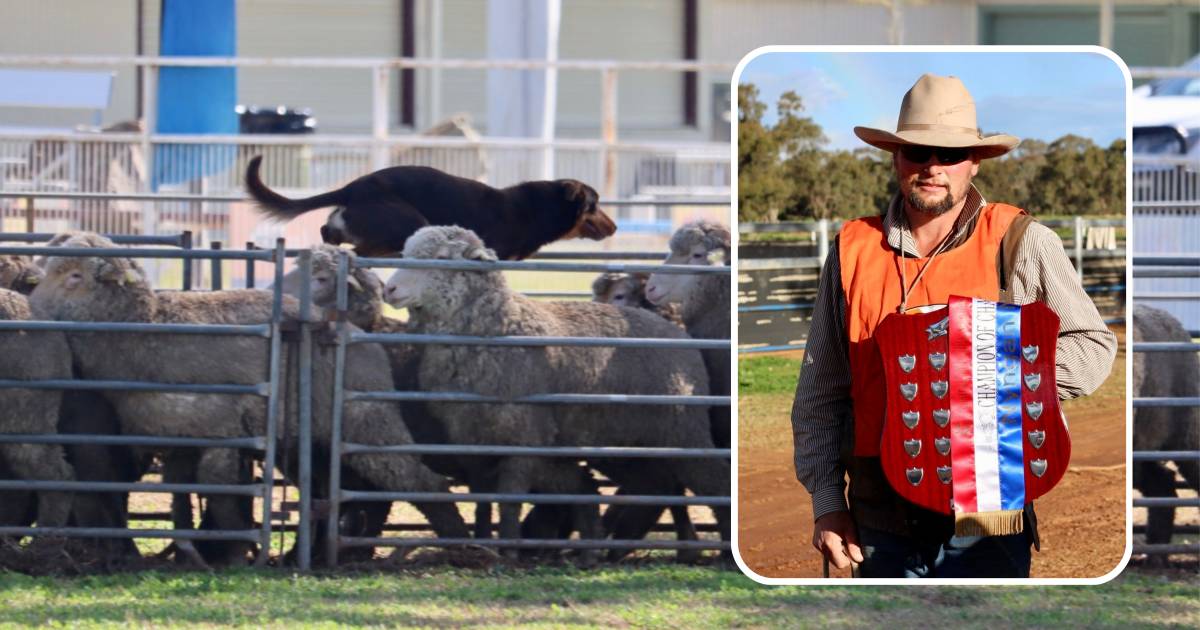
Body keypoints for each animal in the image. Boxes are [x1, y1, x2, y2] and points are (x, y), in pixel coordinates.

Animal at [28, 231, 468, 559]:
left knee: (417, 480)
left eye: (74, 276)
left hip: (369, 420)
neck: (148, 327)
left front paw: (234, 549)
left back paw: (462, 544)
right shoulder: (180, 438)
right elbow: (182, 495)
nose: (31, 310)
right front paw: (197, 550)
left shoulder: (222, 425)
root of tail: (358, 335)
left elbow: (218, 487)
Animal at [384, 225, 729, 559]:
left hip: (681, 430)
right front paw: (483, 544)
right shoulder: (473, 437)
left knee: (711, 479)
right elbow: (483, 500)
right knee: (653, 485)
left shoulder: (524, 436)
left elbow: (509, 498)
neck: (500, 324)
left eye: (441, 256)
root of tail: (678, 331)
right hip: (622, 442)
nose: (389, 289)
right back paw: (607, 549)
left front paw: (509, 551)